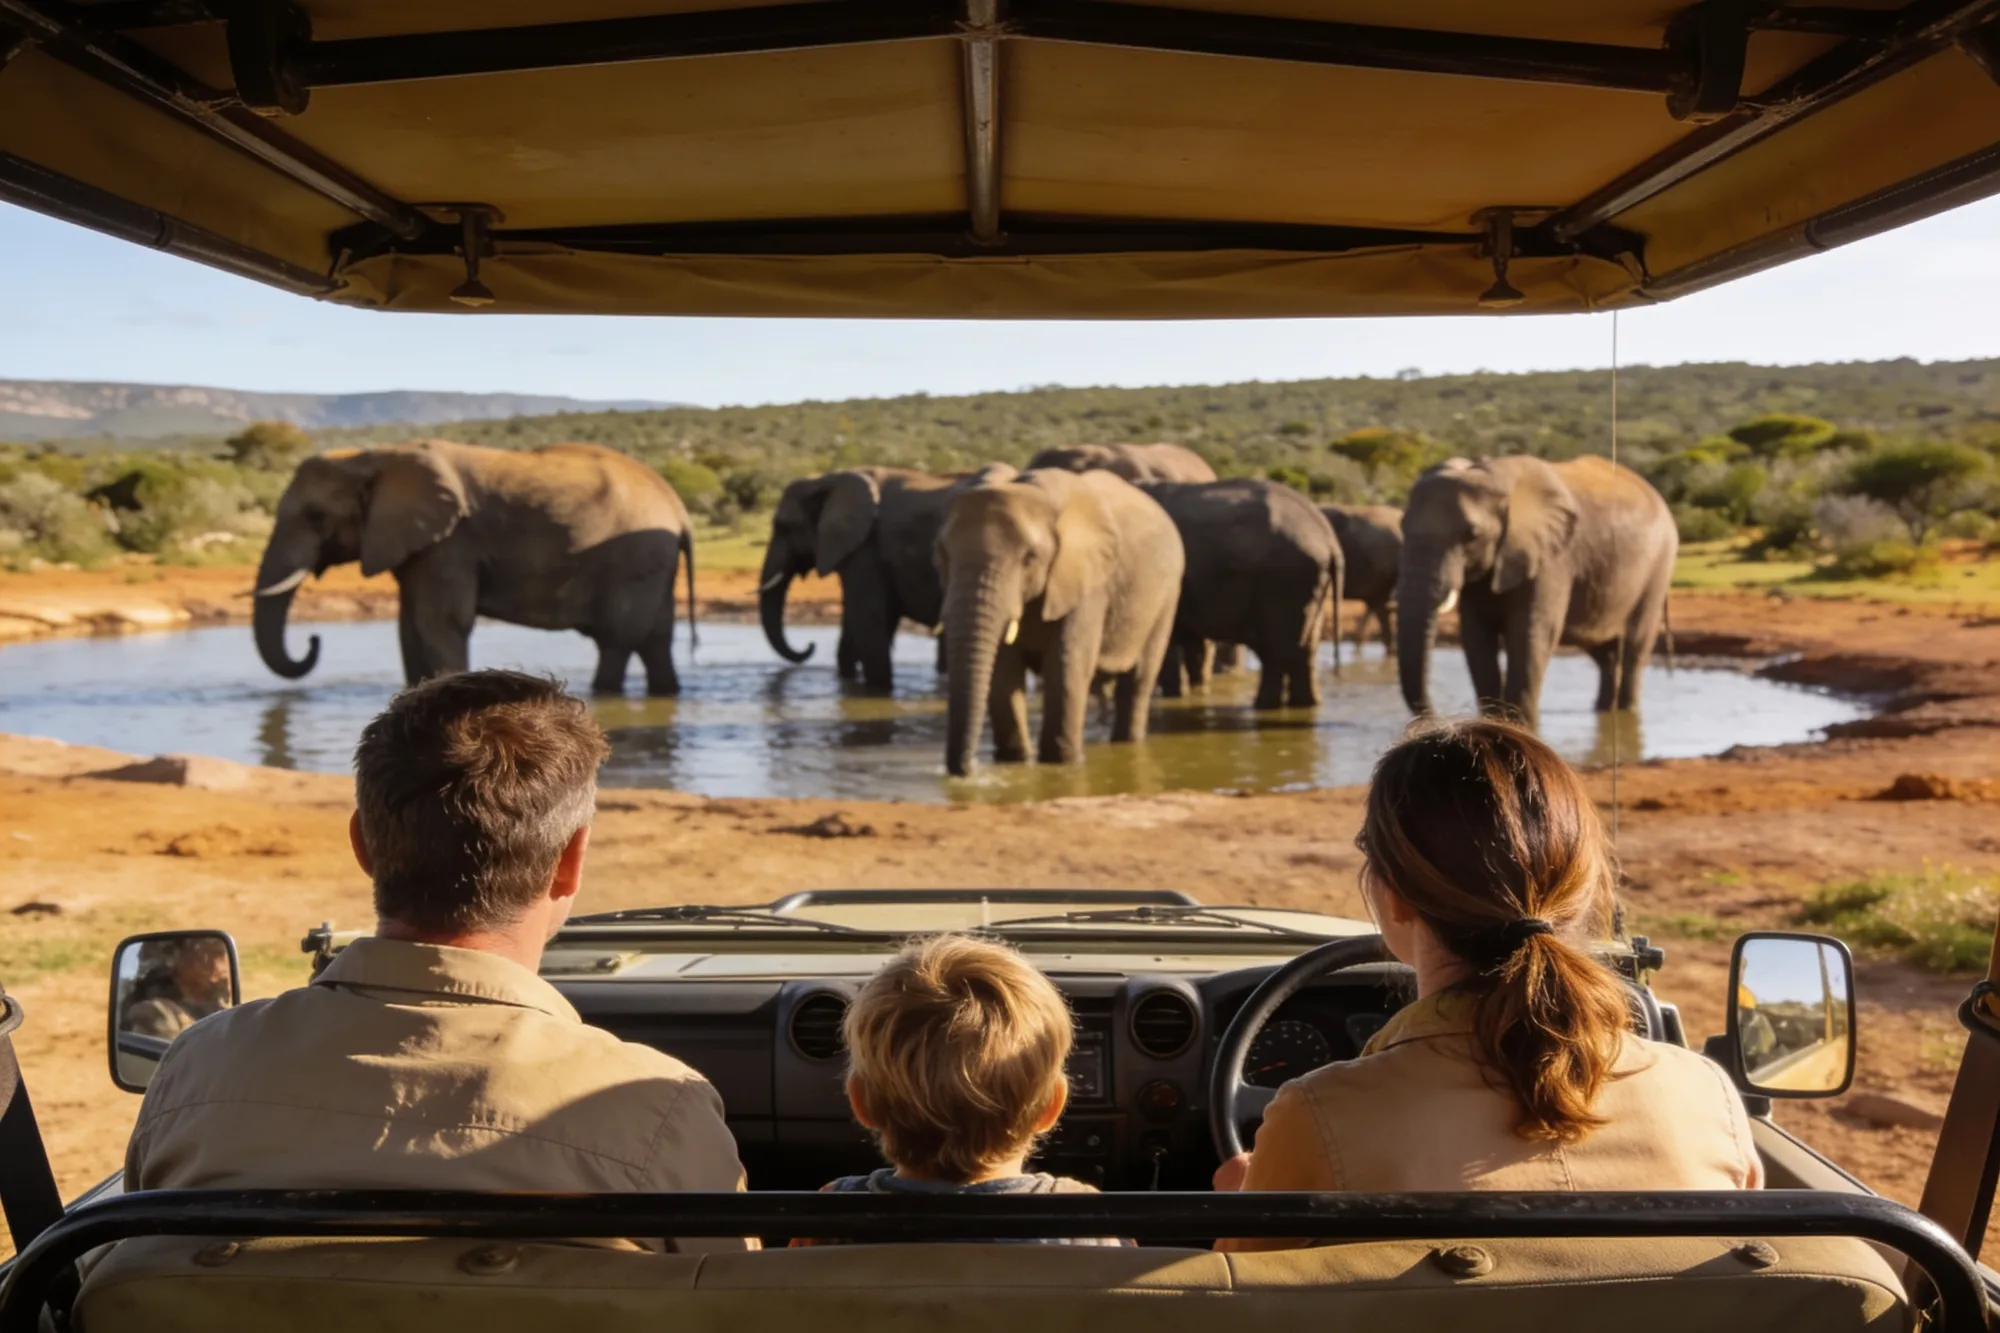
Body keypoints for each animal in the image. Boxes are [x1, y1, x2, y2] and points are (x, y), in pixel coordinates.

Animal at [254, 440, 696, 695]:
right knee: (656, 639)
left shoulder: (451, 540)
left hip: (634, 559)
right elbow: (409, 627)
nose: (313, 639)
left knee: (617, 639)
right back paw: (666, 694)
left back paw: (605, 694)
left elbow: (440, 621)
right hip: (654, 562)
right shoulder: (419, 545)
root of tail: (677, 507)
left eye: (316, 517)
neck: (371, 456)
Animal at [758, 467, 967, 690]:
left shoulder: (866, 549)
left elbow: (867, 618)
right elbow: (857, 622)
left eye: (783, 527)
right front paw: (848, 686)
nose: (810, 645)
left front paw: (878, 691)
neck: (828, 479)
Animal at [937, 469, 1184, 777]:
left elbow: (1066, 665)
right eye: (942, 553)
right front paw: (1015, 762)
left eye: (1030, 557)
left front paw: (1062, 763)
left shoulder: (1088, 583)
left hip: (1168, 595)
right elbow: (1004, 670)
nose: (966, 770)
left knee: (1139, 679)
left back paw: (1127, 743)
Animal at [1144, 479, 1344, 709]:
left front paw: (1175, 696)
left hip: (1284, 580)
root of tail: (1329, 540)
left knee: (1276, 652)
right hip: (1309, 583)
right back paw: (1303, 704)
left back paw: (1264, 705)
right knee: (1304, 652)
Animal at [1397, 455, 1676, 728]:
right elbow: (1476, 636)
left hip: (1659, 563)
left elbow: (1530, 634)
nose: (1436, 720)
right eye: (1402, 527)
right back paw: (1604, 710)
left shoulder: (1552, 560)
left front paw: (1521, 727)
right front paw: (1493, 724)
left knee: (1634, 645)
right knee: (1602, 651)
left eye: (1471, 535)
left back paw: (1627, 710)